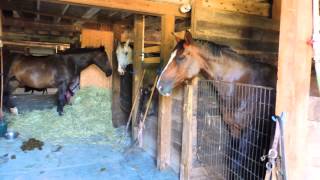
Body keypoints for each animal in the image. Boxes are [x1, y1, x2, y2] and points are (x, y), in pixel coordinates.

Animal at [158, 31, 278, 179]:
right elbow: (232, 162)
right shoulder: (234, 128)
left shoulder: (250, 131)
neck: (239, 85)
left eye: (181, 57)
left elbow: (239, 164)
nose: (159, 86)